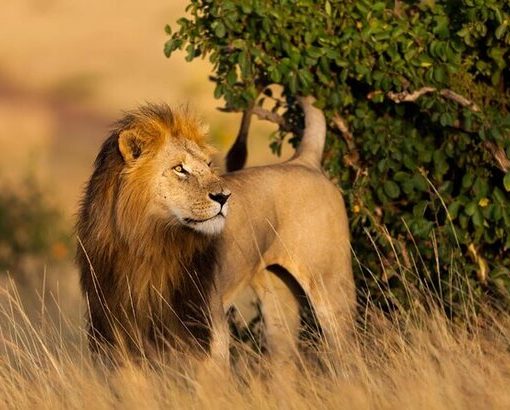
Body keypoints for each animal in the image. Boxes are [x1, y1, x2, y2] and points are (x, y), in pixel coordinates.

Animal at [76, 97, 354, 370]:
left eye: (209, 165)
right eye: (179, 169)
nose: (224, 196)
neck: (147, 243)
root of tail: (304, 160)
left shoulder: (210, 333)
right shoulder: (115, 336)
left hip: (332, 288)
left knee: (348, 349)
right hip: (278, 303)